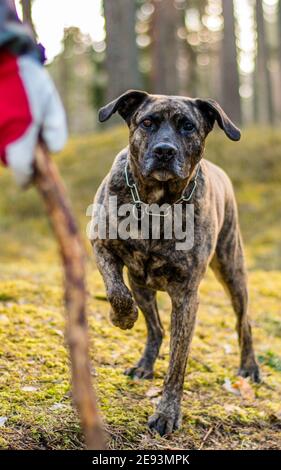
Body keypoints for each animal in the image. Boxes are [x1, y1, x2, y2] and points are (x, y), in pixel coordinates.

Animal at [92, 91, 260, 436]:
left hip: (232, 269)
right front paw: (122, 318)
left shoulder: (186, 296)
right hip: (143, 286)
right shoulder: (101, 245)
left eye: (187, 126)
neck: (156, 204)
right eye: (147, 122)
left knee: (244, 321)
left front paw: (167, 412)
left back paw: (249, 366)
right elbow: (117, 291)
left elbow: (178, 361)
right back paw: (144, 364)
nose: (164, 151)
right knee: (154, 328)